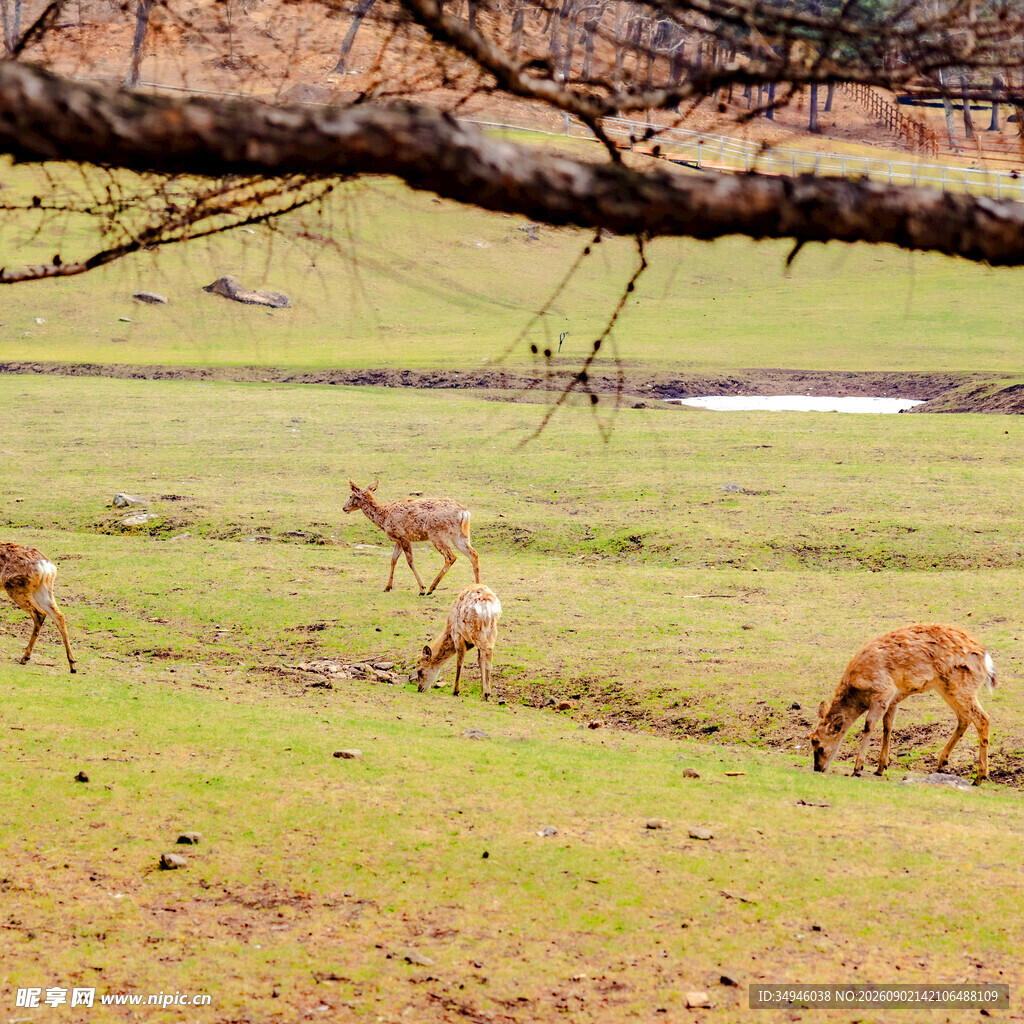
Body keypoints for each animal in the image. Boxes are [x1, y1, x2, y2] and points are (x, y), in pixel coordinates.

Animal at [0, 543, 76, 673]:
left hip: (16, 587)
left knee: (39, 613)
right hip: (43, 590)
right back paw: (72, 665)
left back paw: (24, 658)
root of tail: (47, 567)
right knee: (59, 616)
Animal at [343, 479, 480, 595]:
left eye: (351, 496)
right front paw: (388, 587)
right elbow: (393, 560)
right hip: (460, 535)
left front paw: (422, 588)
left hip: (437, 534)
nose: (344, 508)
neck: (384, 517)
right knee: (473, 554)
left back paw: (431, 588)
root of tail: (464, 512)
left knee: (451, 556)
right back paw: (478, 587)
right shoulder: (398, 539)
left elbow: (410, 561)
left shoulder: (403, 536)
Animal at [810, 624, 995, 785]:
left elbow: (869, 725)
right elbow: (887, 727)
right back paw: (942, 763)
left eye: (819, 746)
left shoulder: (883, 690)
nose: (817, 768)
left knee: (982, 718)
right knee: (964, 719)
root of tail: (985, 658)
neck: (858, 691)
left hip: (960, 684)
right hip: (947, 688)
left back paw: (979, 777)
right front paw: (880, 767)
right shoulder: (893, 699)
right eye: (811, 739)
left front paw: (858, 768)